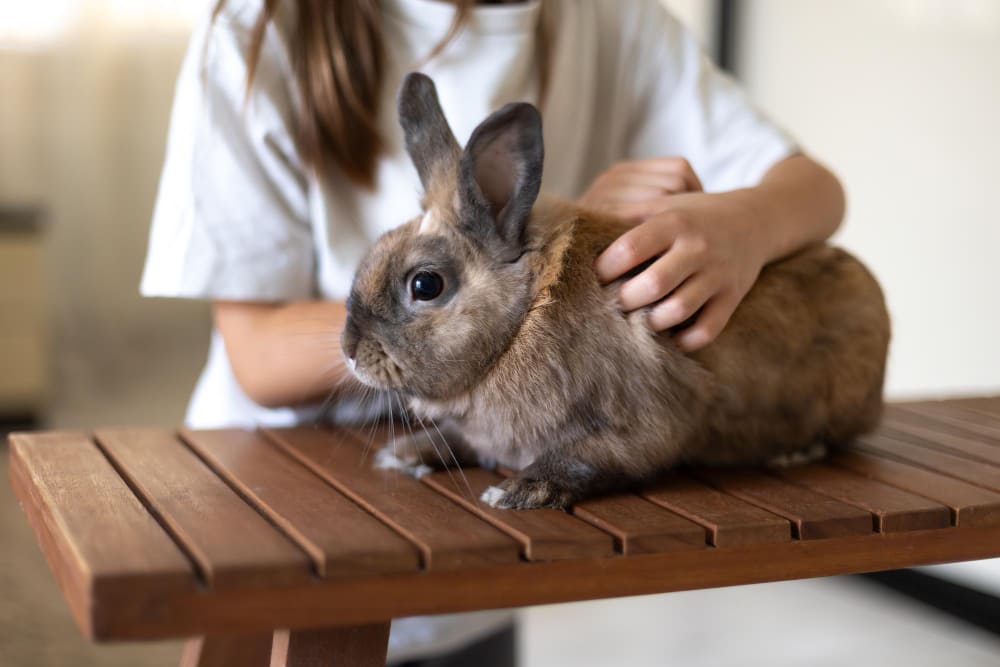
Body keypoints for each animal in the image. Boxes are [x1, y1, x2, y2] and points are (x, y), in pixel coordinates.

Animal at [340, 72, 891, 510]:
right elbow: (459, 438)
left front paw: (520, 491)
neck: (523, 320)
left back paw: (795, 450)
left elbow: (585, 458)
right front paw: (405, 453)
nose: (348, 349)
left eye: (425, 284)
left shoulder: (643, 424)